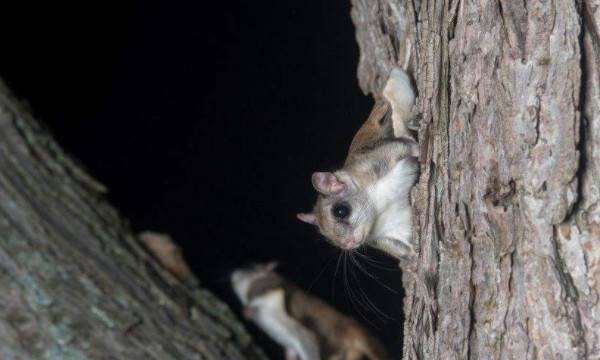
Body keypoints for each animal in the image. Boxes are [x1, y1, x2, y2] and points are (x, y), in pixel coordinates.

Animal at [230, 262, 390, 360]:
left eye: (251, 267)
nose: (233, 274)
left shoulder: (275, 291)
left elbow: (264, 298)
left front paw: (248, 310)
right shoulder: (291, 347)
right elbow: (290, 352)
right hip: (349, 353)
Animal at [296, 68, 418, 262]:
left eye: (341, 211)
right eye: (325, 235)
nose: (348, 244)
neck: (376, 205)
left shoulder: (379, 161)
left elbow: (407, 148)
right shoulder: (385, 237)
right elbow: (402, 249)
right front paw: (415, 256)